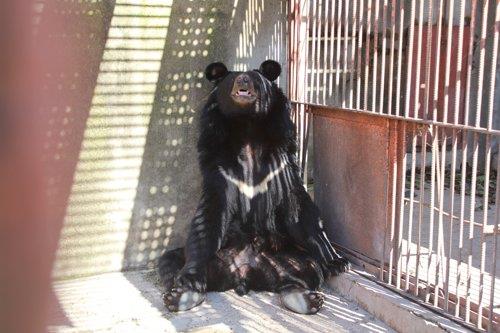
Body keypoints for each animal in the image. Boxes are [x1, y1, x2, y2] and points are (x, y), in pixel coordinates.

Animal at [158, 59, 350, 314]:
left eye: (254, 78)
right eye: (233, 78)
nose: (243, 80)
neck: (247, 126)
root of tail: (244, 274)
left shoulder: (281, 162)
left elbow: (301, 210)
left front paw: (339, 262)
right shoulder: (219, 165)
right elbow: (209, 216)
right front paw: (190, 280)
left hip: (292, 257)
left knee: (306, 273)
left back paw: (306, 299)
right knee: (170, 262)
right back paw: (181, 294)